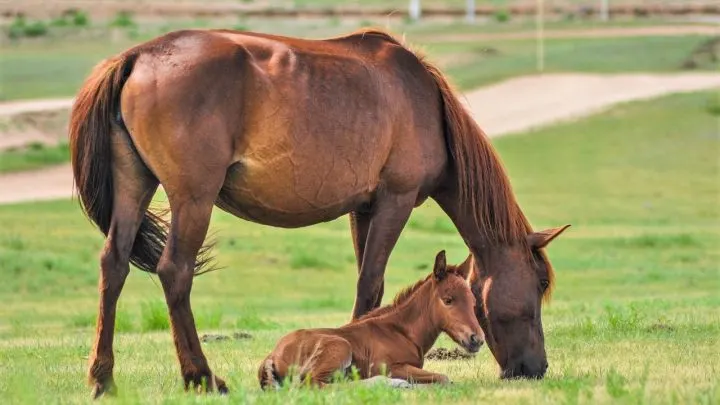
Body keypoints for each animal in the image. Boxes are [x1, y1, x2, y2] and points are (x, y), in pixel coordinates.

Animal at [258, 250, 482, 389]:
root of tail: (272, 355)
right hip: (340, 347)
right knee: (315, 385)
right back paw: (391, 384)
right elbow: (443, 378)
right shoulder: (389, 366)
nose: (477, 339)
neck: (401, 332)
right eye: (448, 300)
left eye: (473, 301)